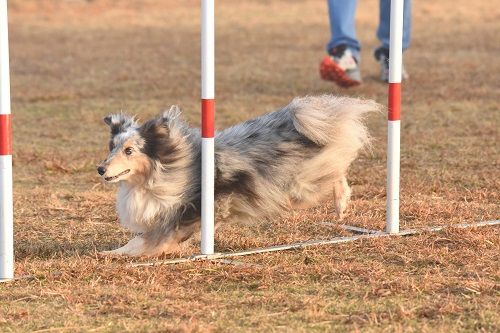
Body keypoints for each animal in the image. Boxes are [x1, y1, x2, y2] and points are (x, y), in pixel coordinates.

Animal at [96, 94, 378, 255]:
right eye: (111, 148)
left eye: (129, 150)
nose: (100, 169)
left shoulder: (182, 216)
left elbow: (143, 243)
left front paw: (112, 254)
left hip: (301, 184)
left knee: (338, 171)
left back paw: (341, 203)